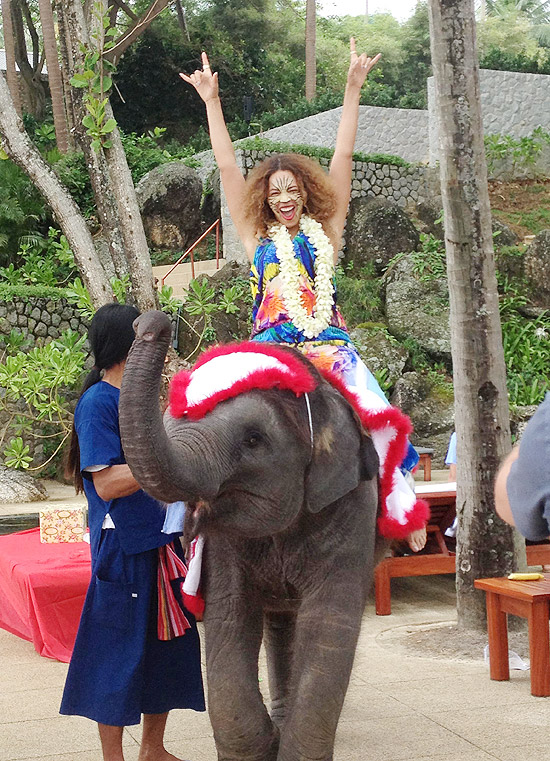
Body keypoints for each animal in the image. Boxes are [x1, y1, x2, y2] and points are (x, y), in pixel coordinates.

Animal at [118, 310, 382, 760]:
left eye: (254, 440)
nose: (150, 322)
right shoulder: (225, 544)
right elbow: (230, 613)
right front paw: (262, 746)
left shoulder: (352, 507)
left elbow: (328, 624)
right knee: (279, 623)